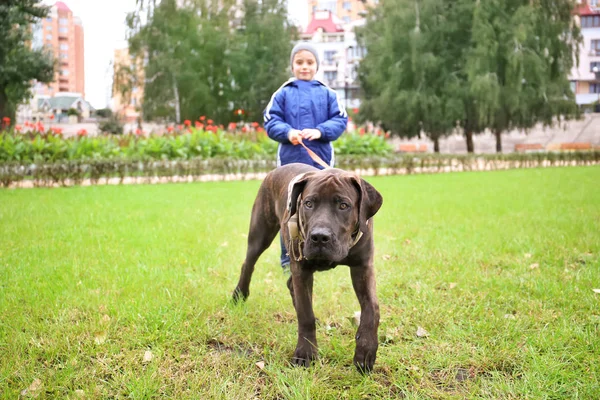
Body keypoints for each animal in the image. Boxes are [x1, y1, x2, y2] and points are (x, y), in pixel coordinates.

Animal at [233, 162, 384, 372]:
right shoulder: (302, 269)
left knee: (290, 283)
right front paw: (305, 353)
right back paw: (239, 293)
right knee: (248, 264)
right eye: (309, 204)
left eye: (343, 205)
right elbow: (305, 314)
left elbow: (372, 308)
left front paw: (366, 349)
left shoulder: (362, 267)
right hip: (260, 233)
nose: (319, 237)